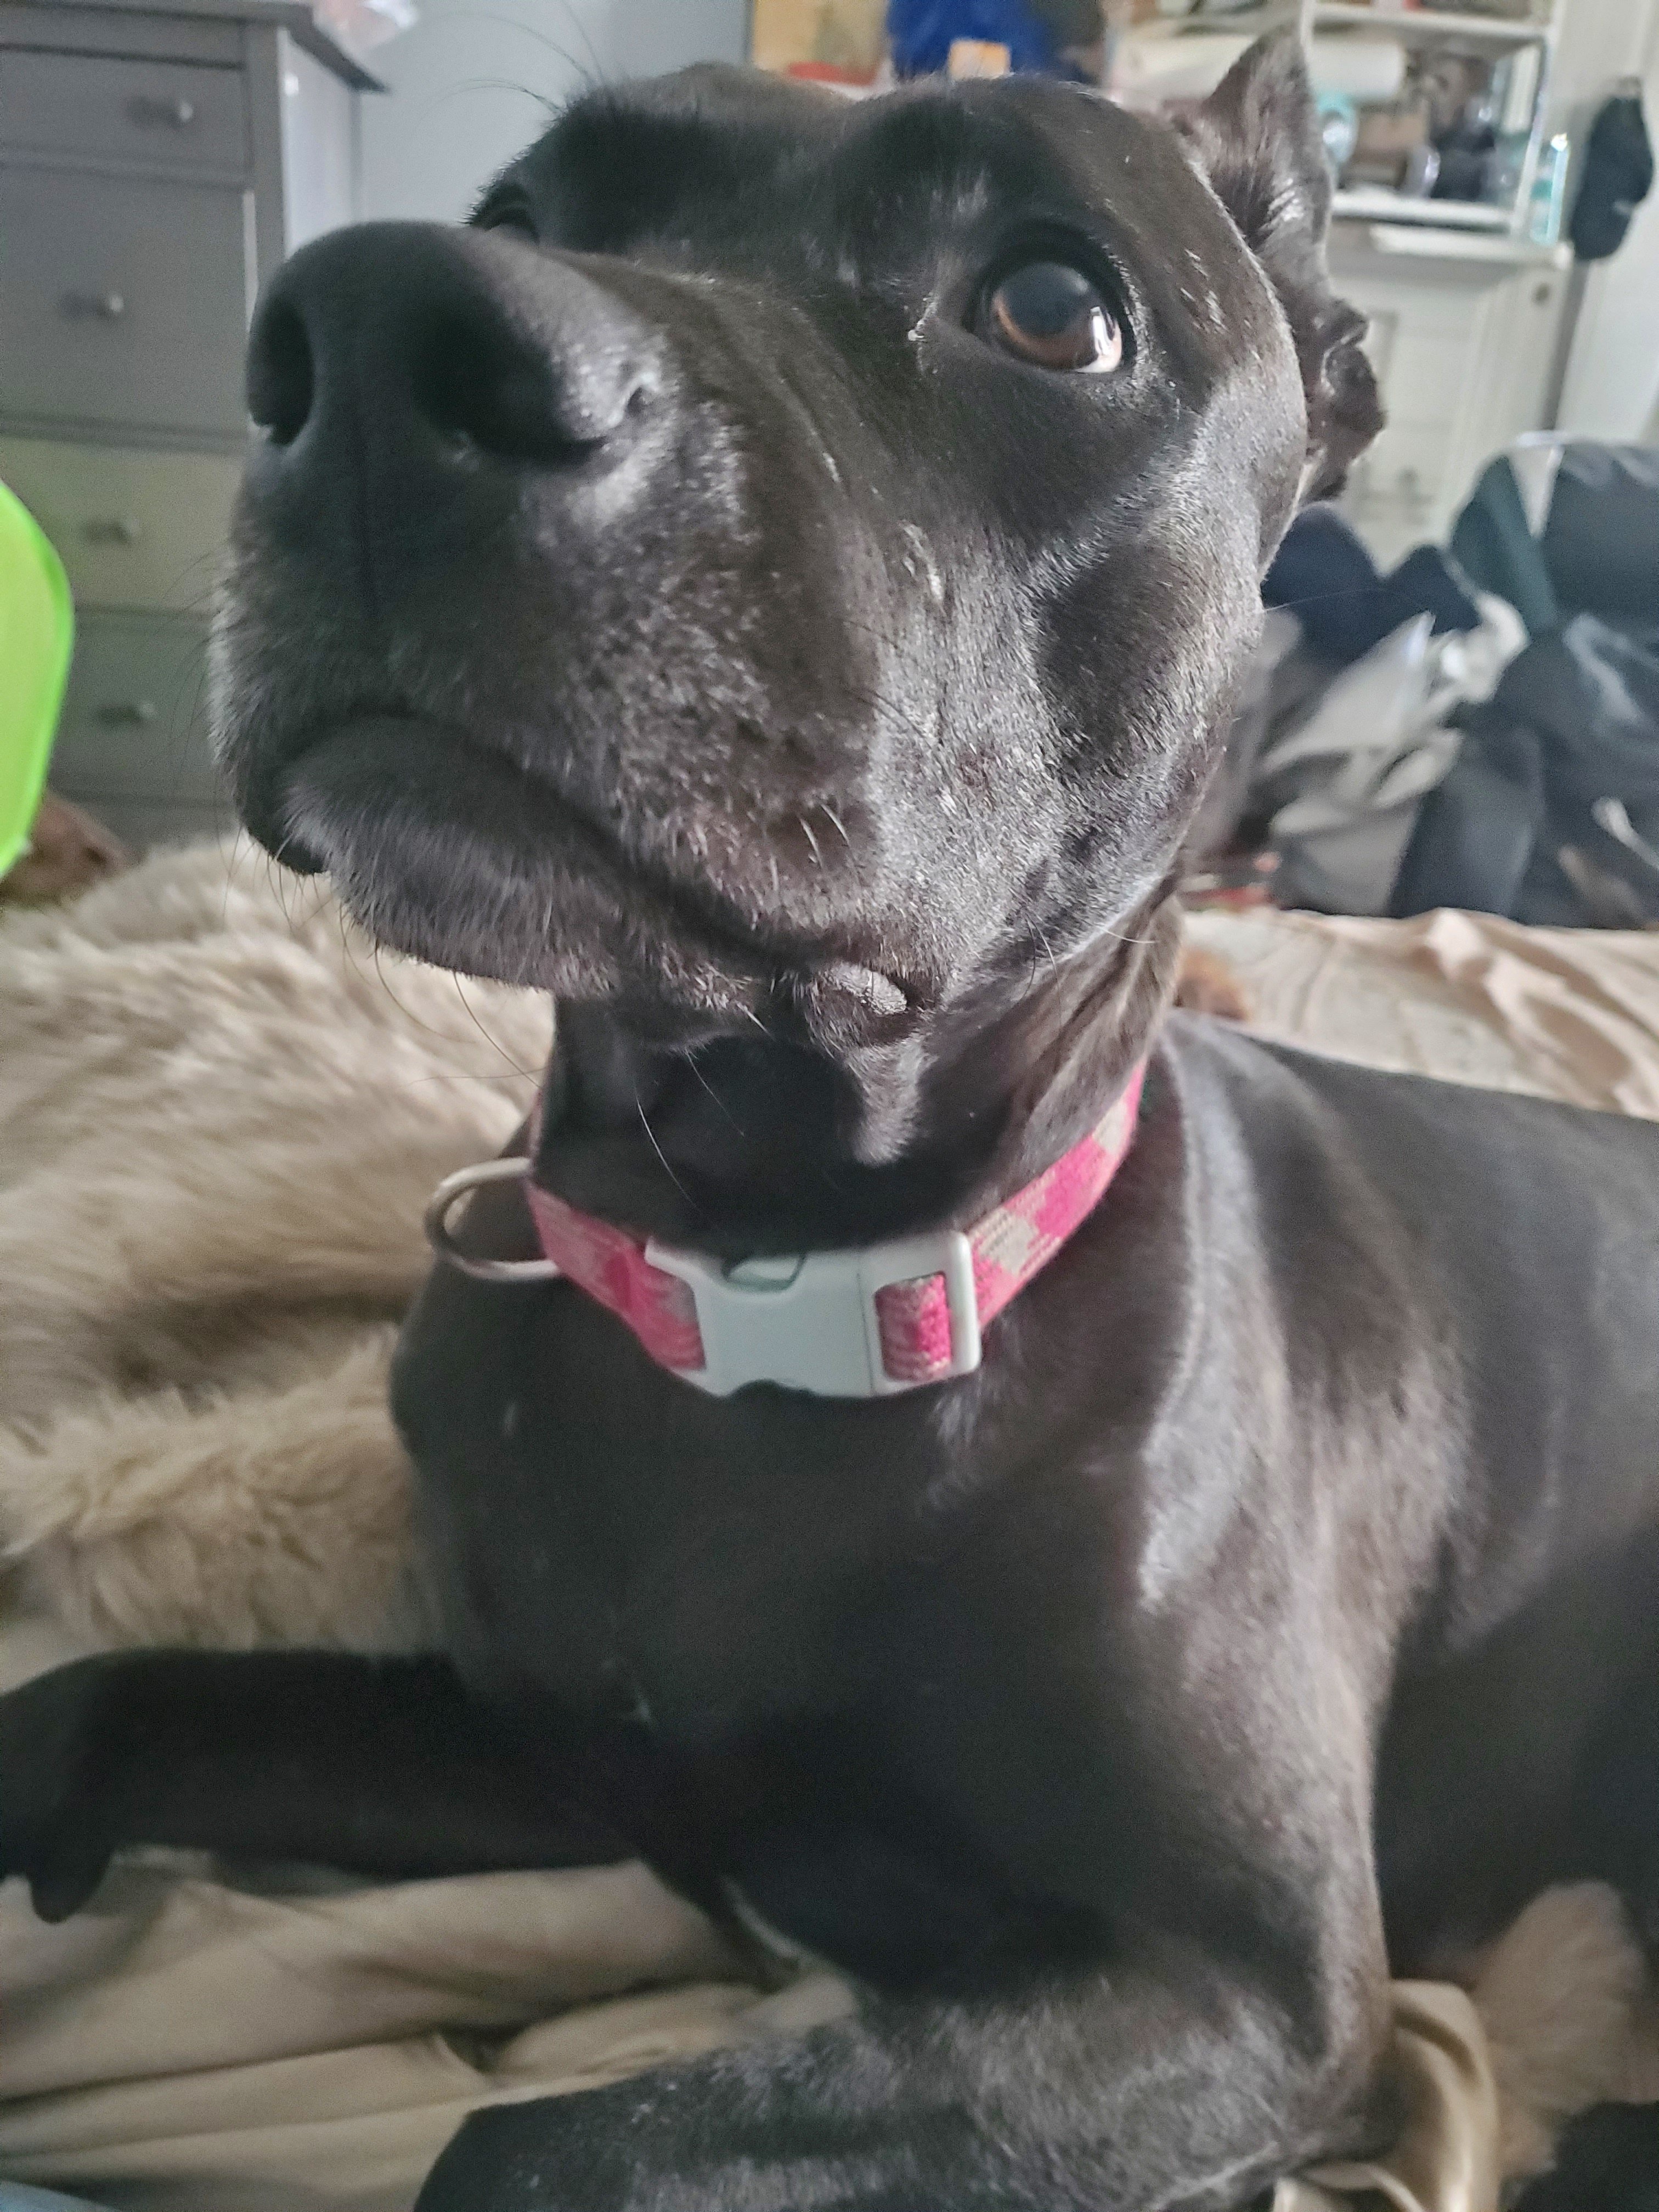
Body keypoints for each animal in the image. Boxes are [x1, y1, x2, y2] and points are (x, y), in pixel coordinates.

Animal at [3, 33, 1658, 2211]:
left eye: (1051, 306)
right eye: (526, 214)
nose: (366, 329)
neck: (759, 1272)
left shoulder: (1242, 1996)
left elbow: (528, 2152)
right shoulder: (549, 1744)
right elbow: (93, 1703)